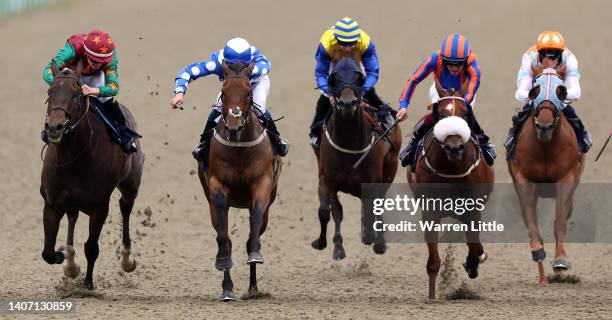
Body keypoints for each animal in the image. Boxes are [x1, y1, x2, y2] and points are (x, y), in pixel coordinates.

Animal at [40, 60, 143, 290]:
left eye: (76, 94)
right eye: (50, 91)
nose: (55, 127)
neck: (74, 157)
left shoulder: (99, 206)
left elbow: (91, 247)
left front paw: (88, 282)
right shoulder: (52, 203)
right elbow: (48, 253)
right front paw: (65, 258)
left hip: (131, 184)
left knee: (125, 206)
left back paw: (127, 259)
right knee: (73, 215)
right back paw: (70, 262)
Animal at [198, 61, 282, 302]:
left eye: (248, 92)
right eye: (224, 91)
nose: (233, 128)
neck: (239, 149)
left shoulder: (262, 185)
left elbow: (254, 221)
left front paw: (255, 253)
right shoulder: (217, 186)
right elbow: (224, 236)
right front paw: (223, 263)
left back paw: (253, 287)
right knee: (224, 236)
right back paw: (227, 289)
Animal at [310, 58, 402, 260]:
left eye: (359, 79)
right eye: (333, 79)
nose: (347, 104)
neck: (349, 144)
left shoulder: (372, 181)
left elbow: (373, 208)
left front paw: (375, 241)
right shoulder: (327, 179)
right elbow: (328, 211)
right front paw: (329, 245)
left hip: (390, 168)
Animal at [408, 80, 494, 300]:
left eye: (464, 113)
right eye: (441, 114)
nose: (454, 147)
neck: (452, 168)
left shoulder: (473, 208)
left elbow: (473, 243)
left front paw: (473, 264)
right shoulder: (429, 211)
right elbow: (433, 260)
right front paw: (431, 295)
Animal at [504, 67, 584, 282]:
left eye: (561, 90)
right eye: (534, 90)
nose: (545, 126)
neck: (546, 148)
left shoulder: (566, 179)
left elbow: (560, 221)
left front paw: (561, 261)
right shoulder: (524, 179)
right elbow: (531, 220)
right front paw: (538, 250)